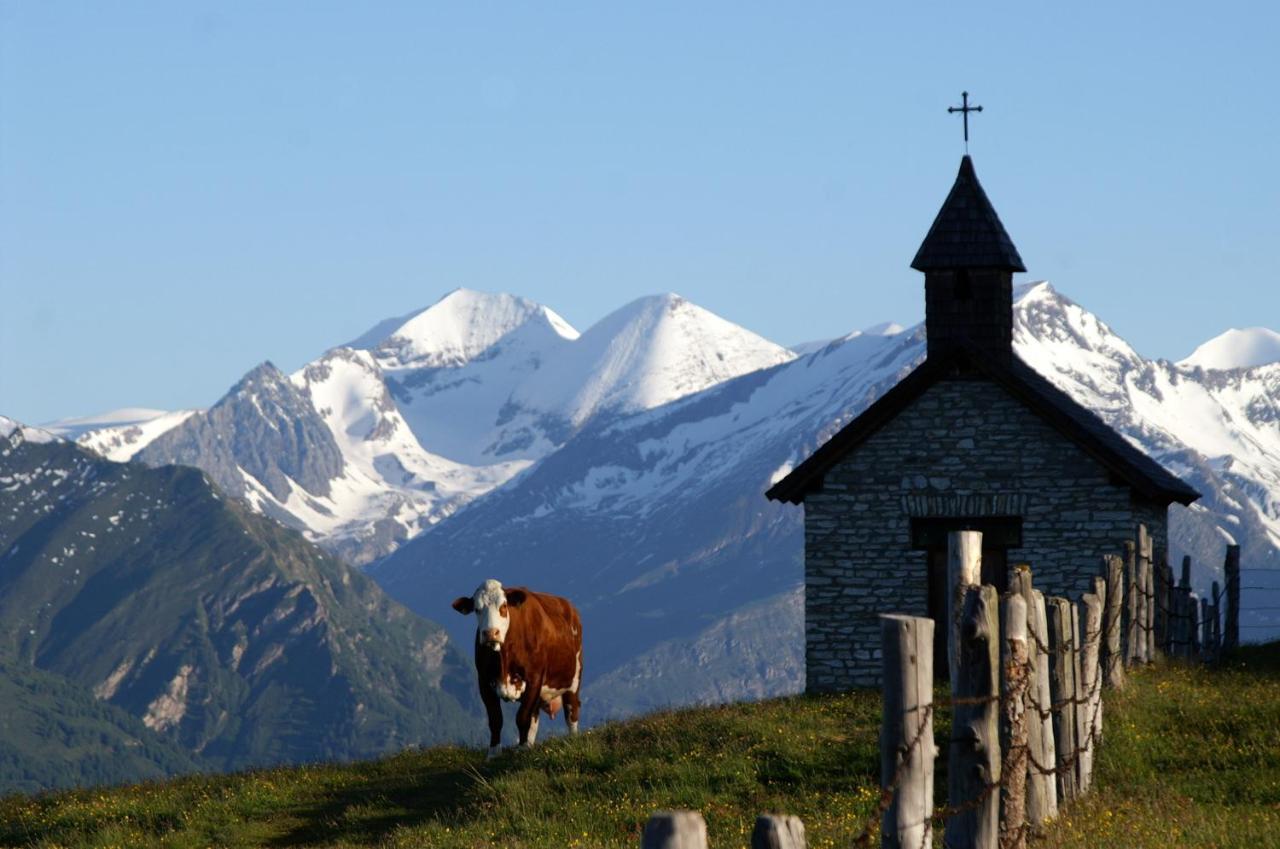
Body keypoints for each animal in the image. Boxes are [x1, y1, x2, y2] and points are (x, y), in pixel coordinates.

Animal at [453, 578, 583, 758]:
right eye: (477, 609)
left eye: (503, 606)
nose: (490, 633)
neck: (504, 659)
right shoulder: (484, 681)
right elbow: (496, 719)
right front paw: (494, 753)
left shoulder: (534, 677)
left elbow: (522, 717)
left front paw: (521, 749)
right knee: (534, 718)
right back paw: (529, 744)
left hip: (573, 680)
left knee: (571, 711)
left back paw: (572, 739)